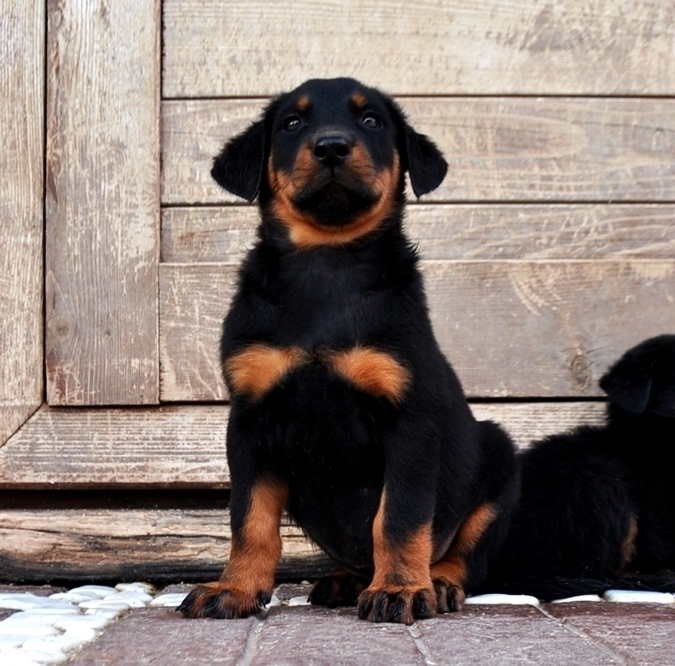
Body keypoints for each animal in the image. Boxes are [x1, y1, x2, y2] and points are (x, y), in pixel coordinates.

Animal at [177, 79, 520, 624]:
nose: (332, 146)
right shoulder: (249, 420)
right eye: (292, 123)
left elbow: (399, 516)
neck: (327, 261)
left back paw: (438, 583)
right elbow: (249, 519)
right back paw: (346, 579)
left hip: (500, 462)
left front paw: (400, 589)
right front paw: (235, 588)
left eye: (372, 121)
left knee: (464, 556)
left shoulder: (410, 421)